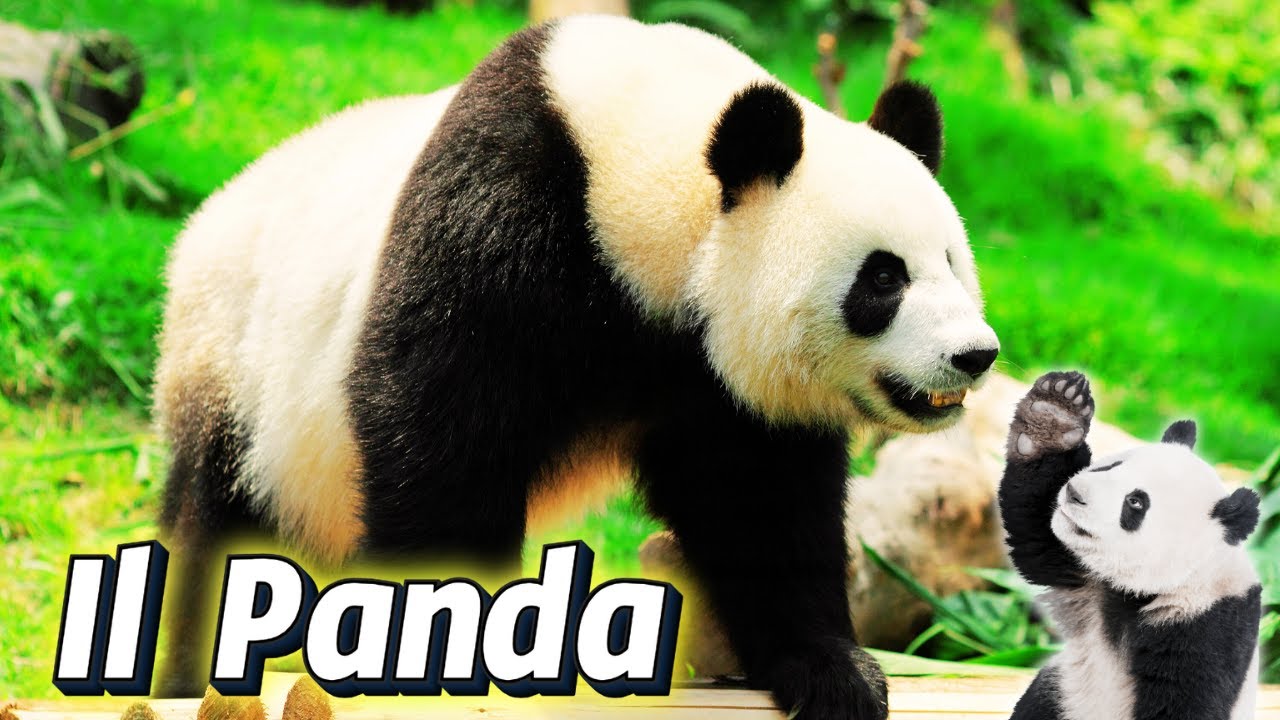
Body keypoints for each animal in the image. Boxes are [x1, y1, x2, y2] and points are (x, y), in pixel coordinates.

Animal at [153, 15, 1001, 716]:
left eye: (952, 262)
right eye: (882, 278)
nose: (975, 355)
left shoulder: (719, 385)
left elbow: (759, 499)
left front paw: (833, 673)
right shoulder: (502, 216)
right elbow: (441, 441)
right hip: (236, 370)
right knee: (215, 524)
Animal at [1000, 371, 1262, 720]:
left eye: (1135, 502)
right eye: (1112, 465)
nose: (1074, 492)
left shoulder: (1210, 624)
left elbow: (1187, 701)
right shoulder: (1091, 584)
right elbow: (1036, 534)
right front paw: (1054, 414)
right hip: (1066, 694)